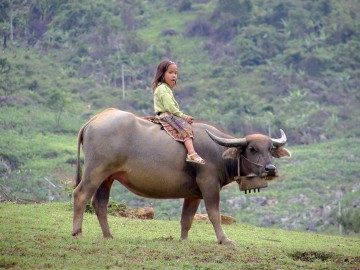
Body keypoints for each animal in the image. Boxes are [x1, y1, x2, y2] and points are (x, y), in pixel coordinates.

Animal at [71, 107, 292, 245]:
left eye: (270, 148)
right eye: (252, 149)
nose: (270, 169)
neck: (219, 152)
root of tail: (94, 120)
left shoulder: (193, 194)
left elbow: (187, 218)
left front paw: (184, 240)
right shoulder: (209, 184)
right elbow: (214, 214)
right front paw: (224, 239)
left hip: (107, 177)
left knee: (99, 203)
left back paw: (108, 236)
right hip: (96, 170)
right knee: (80, 194)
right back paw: (77, 233)